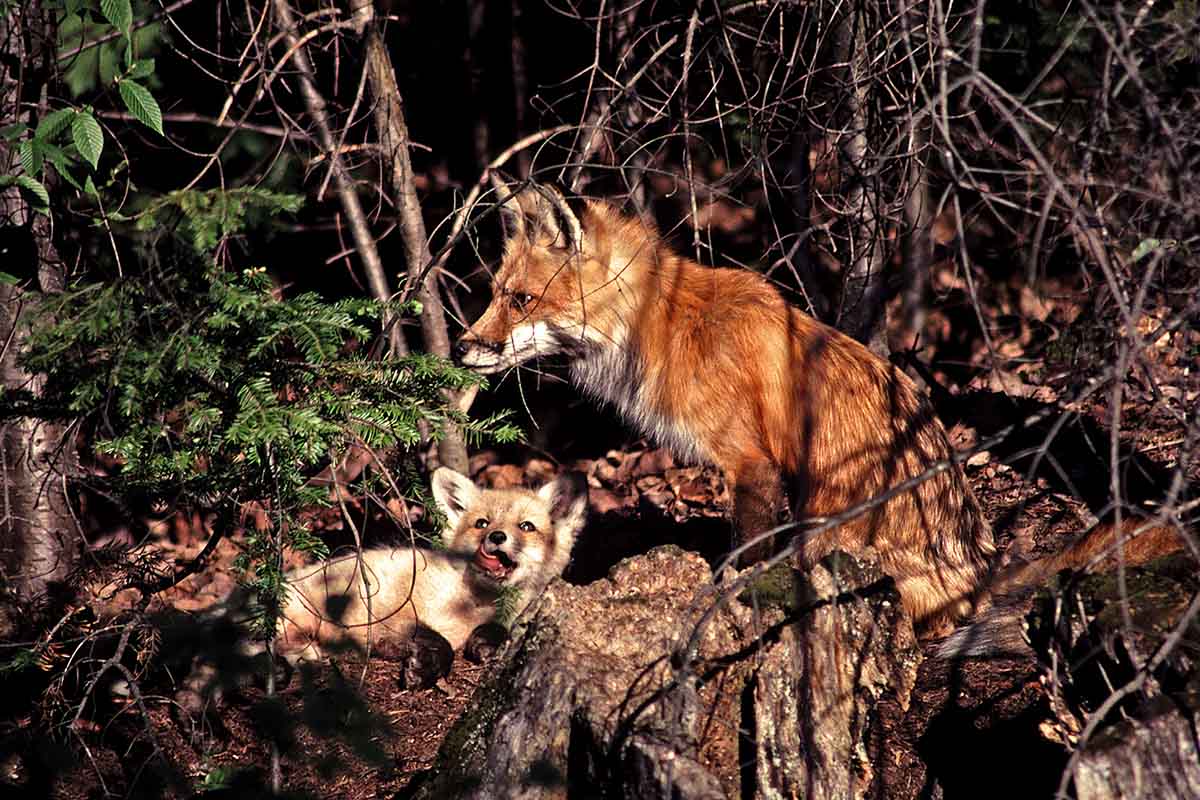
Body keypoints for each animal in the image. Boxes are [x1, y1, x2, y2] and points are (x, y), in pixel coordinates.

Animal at [453, 181, 1185, 638]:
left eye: (520, 300)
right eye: (494, 293)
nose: (460, 348)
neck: (661, 328)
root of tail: (977, 562)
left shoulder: (750, 463)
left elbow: (741, 558)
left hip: (827, 521)